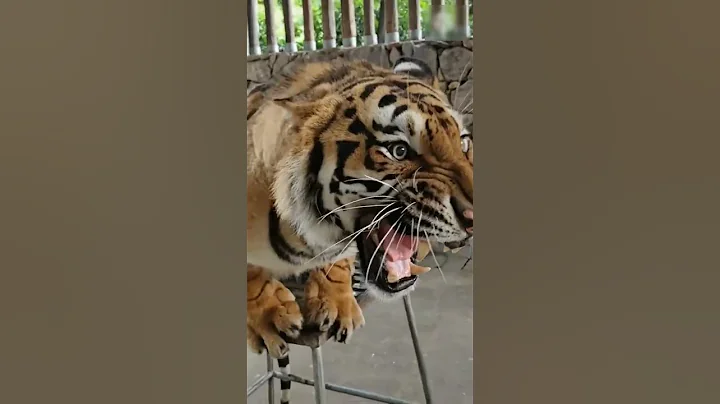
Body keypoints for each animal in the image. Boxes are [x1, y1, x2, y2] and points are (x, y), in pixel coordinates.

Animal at [245, 56, 474, 383]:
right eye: (399, 151)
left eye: (464, 143)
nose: (473, 219)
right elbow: (251, 273)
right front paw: (271, 314)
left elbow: (339, 262)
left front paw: (337, 303)